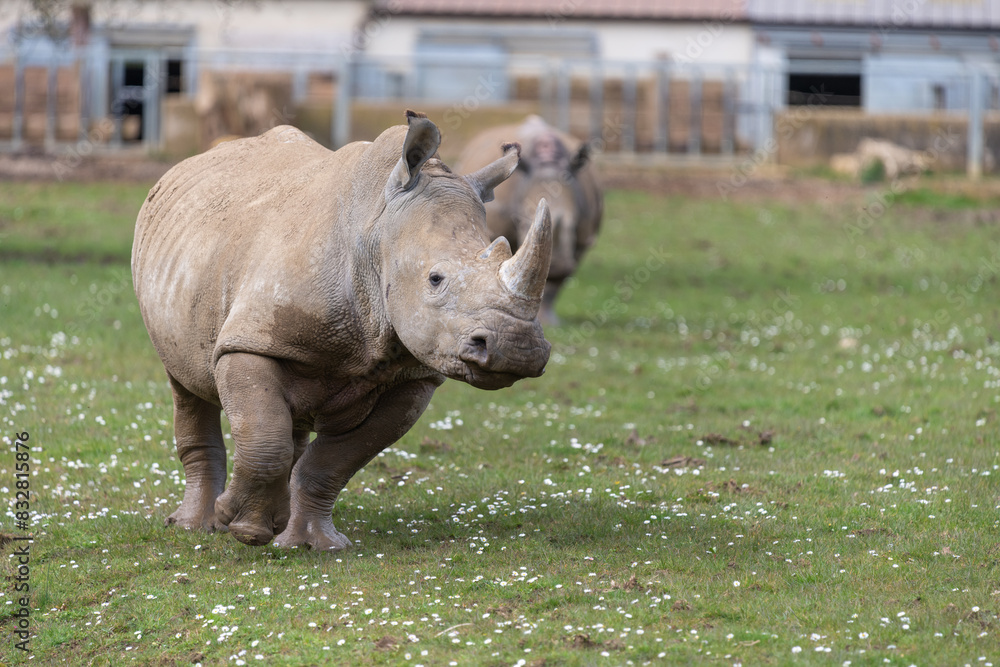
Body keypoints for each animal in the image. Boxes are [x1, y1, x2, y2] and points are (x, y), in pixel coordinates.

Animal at [132, 111, 552, 550]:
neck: (377, 235)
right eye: (435, 279)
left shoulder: (414, 375)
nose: (518, 349)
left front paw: (318, 545)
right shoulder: (251, 341)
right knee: (186, 382)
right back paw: (195, 526)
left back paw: (279, 526)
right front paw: (244, 529)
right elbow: (265, 439)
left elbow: (335, 462)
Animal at [456, 116, 603, 324]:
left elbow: (555, 282)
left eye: (572, 224)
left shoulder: (584, 235)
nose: (556, 264)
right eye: (523, 223)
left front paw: (550, 322)